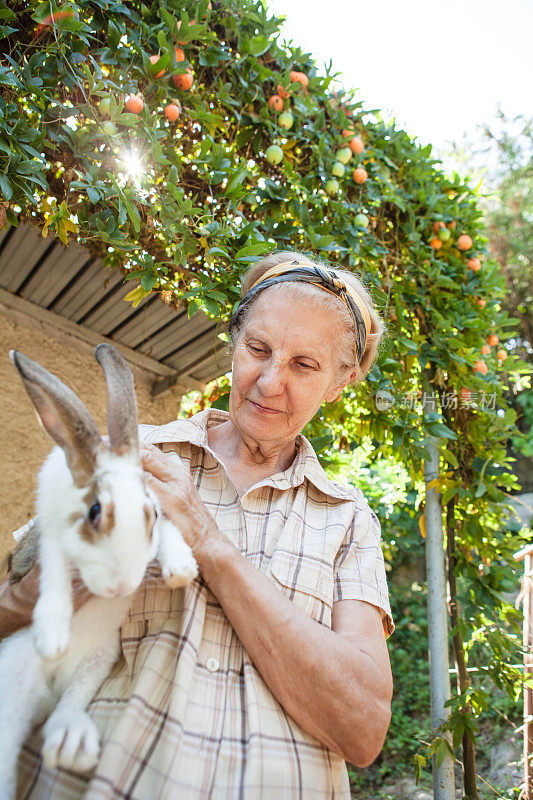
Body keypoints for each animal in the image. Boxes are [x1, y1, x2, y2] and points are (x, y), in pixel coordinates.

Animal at [0, 344, 197, 800]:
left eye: (149, 512)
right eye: (94, 511)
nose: (121, 586)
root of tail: (48, 688)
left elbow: (170, 532)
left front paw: (181, 567)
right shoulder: (52, 539)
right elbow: (54, 573)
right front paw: (52, 633)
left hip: (98, 658)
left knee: (69, 704)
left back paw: (71, 740)